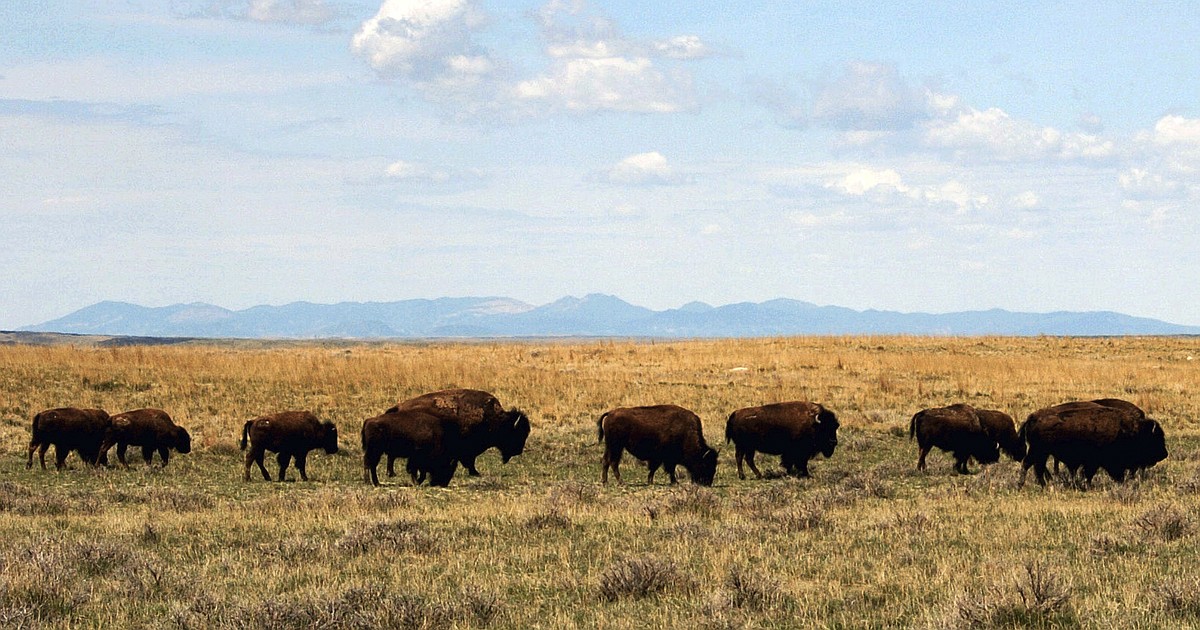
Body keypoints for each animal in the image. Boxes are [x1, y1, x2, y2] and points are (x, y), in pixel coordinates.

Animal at [386, 389, 530, 477]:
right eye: (516, 433)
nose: (519, 450)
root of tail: (399, 407)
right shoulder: (469, 449)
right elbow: (470, 461)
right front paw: (475, 472)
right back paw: (392, 473)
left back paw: (392, 473)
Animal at [1018, 399, 1168, 488]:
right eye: (1154, 438)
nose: (1164, 454)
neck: (1130, 431)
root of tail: (1031, 418)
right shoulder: (1096, 461)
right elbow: (1090, 473)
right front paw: (1088, 486)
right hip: (1039, 451)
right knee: (1030, 465)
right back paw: (1027, 484)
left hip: (1040, 452)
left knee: (1035, 466)